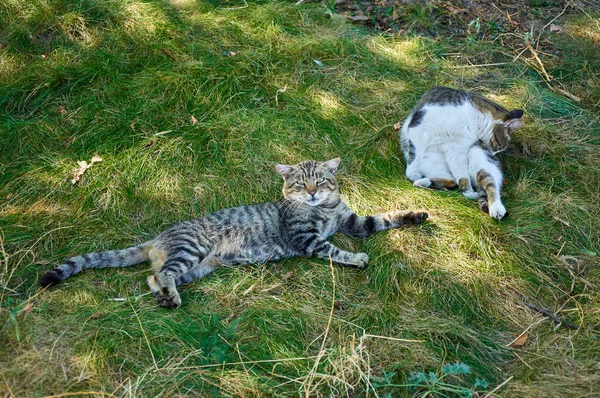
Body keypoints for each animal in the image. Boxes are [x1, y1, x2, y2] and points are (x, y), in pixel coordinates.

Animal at [39, 158, 426, 308]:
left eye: (321, 180)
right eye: (300, 184)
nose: (313, 192)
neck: (325, 211)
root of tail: (159, 237)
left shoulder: (352, 221)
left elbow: (384, 218)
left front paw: (415, 214)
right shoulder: (306, 238)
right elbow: (334, 250)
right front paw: (357, 257)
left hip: (198, 268)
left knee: (152, 277)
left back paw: (165, 297)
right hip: (191, 252)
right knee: (162, 274)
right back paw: (171, 298)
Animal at [398, 86, 524, 221]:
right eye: (498, 146)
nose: (493, 154)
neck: (473, 122)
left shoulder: (458, 148)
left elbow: (462, 174)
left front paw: (468, 190)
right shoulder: (419, 126)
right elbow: (414, 153)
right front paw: (413, 172)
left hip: (477, 154)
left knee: (488, 184)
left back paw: (494, 207)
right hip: (430, 160)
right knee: (451, 180)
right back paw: (422, 182)